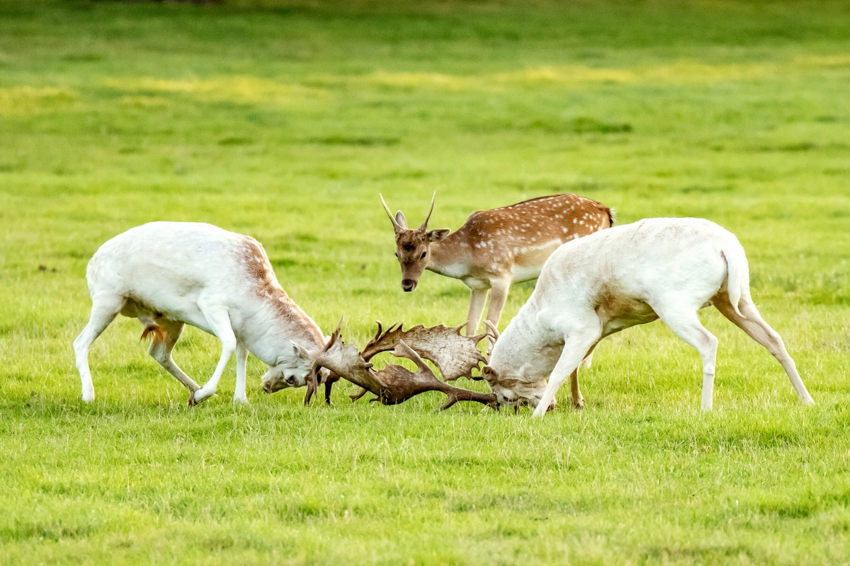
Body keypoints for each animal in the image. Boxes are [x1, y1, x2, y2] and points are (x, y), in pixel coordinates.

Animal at [73, 221, 326, 404]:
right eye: (292, 379)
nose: (267, 387)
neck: (252, 288)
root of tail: (92, 262)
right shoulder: (213, 305)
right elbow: (229, 344)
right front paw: (205, 394)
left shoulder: (240, 326)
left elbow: (241, 352)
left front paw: (239, 399)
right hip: (108, 302)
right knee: (80, 342)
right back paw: (88, 395)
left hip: (170, 321)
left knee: (158, 353)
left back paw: (194, 390)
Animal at [380, 191, 612, 344]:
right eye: (396, 254)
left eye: (423, 253)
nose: (407, 284)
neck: (469, 256)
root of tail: (606, 211)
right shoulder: (477, 285)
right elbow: (471, 324)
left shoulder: (502, 275)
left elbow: (491, 324)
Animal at [480, 217, 812, 418]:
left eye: (504, 396)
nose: (545, 407)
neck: (541, 318)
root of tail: (726, 248)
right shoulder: (599, 329)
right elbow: (577, 367)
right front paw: (576, 404)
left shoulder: (581, 327)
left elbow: (562, 369)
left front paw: (537, 416)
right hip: (735, 298)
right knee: (774, 339)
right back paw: (806, 399)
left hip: (674, 304)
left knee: (709, 342)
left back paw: (705, 408)